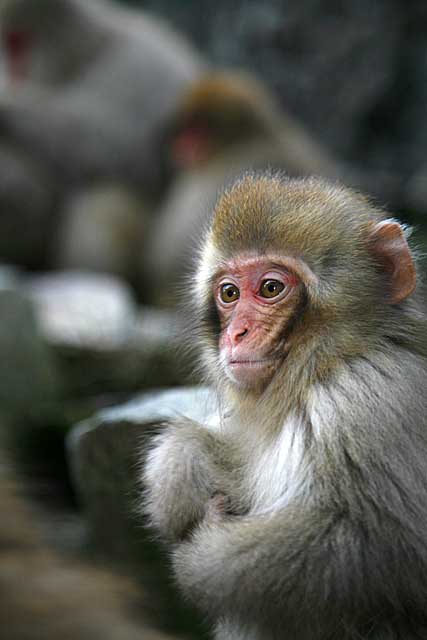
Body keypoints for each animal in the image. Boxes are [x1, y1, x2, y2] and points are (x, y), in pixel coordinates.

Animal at [143, 172, 427, 636]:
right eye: (229, 293)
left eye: (271, 288)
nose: (236, 333)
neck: (324, 362)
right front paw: (181, 466)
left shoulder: (366, 398)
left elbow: (375, 545)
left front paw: (198, 557)